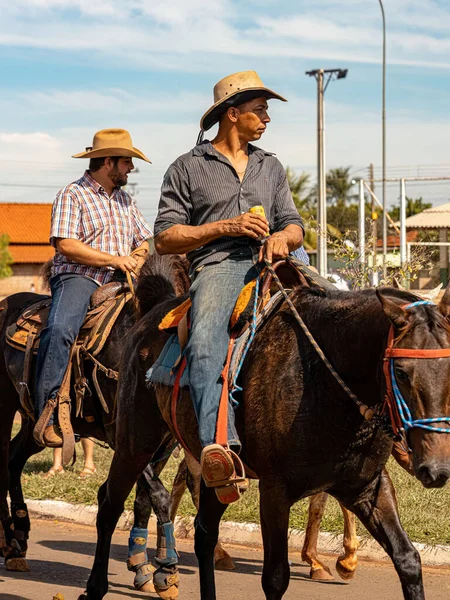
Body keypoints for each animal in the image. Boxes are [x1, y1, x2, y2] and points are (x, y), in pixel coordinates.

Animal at [77, 253, 450, 600]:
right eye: (401, 372)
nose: (435, 469)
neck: (324, 377)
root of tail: (153, 313)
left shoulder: (368, 486)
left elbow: (407, 559)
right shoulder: (275, 490)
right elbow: (275, 577)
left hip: (213, 470)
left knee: (203, 532)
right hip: (135, 444)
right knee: (109, 505)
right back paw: (99, 585)